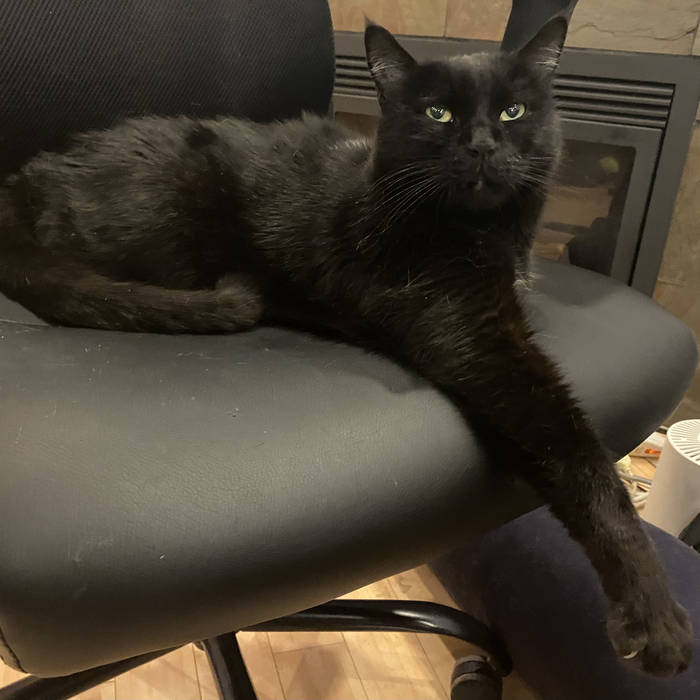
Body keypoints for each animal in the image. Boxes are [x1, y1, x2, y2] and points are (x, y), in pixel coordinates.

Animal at [0, 18, 692, 675]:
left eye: (512, 112)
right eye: (438, 113)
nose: (482, 146)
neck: (484, 229)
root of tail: (23, 179)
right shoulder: (481, 344)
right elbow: (581, 459)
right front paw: (654, 614)